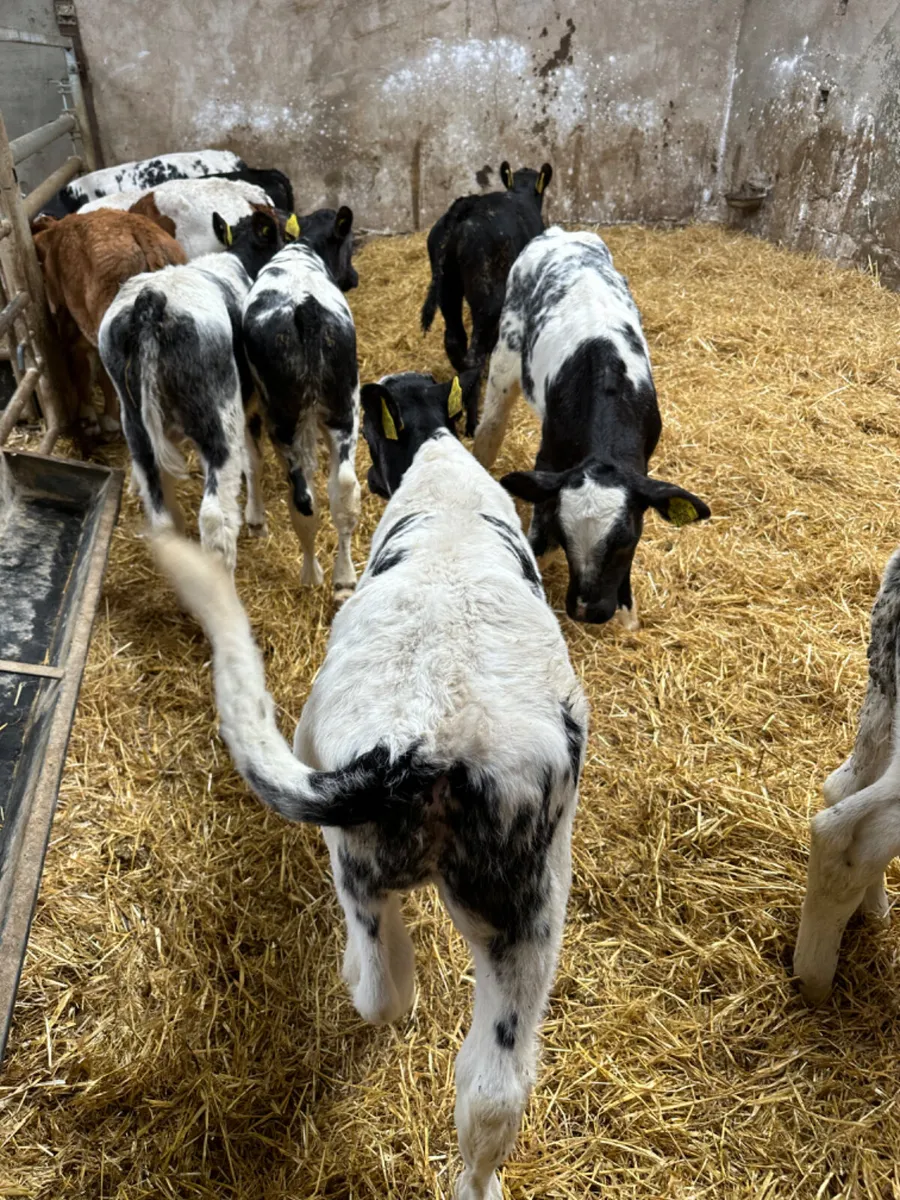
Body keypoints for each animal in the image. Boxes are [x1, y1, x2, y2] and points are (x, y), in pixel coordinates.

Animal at [420, 161, 552, 433]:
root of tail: (466, 208)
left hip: (448, 289)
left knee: (455, 339)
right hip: (487, 298)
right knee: (475, 353)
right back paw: (473, 421)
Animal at [473, 227, 710, 628]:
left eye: (626, 540)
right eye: (564, 535)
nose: (588, 610)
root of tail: (559, 233)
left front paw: (628, 615)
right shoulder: (549, 459)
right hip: (506, 355)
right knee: (491, 426)